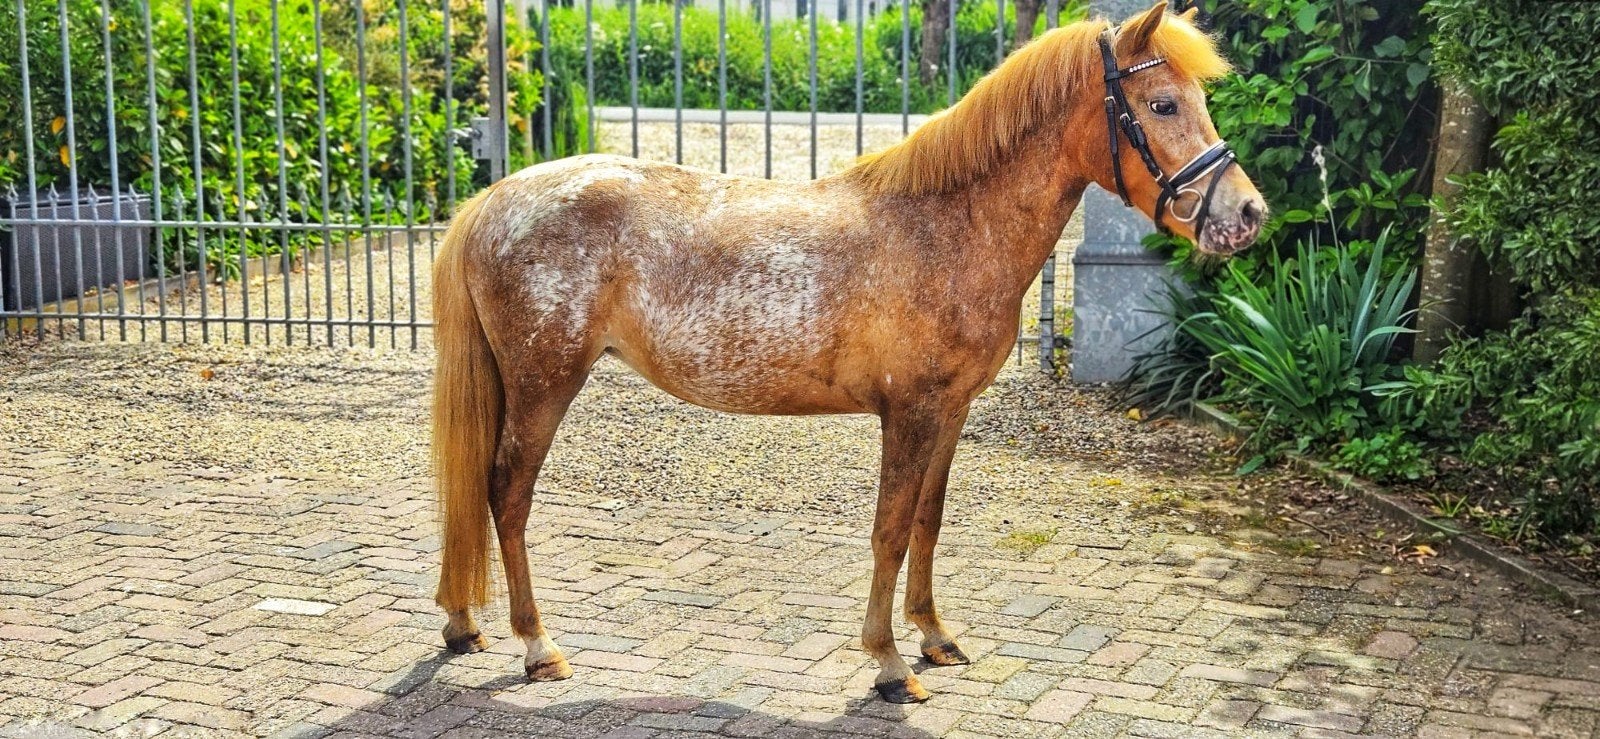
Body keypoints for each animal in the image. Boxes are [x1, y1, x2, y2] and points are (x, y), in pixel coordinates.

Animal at [430, 1, 1263, 704]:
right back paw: (538, 645)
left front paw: (934, 636)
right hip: (544, 383)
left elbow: (928, 518)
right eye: (1162, 104)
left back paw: (464, 623)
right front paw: (889, 661)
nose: (1248, 213)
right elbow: (889, 529)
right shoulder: (909, 410)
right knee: (507, 491)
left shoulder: (949, 409)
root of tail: (490, 202)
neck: (945, 227)